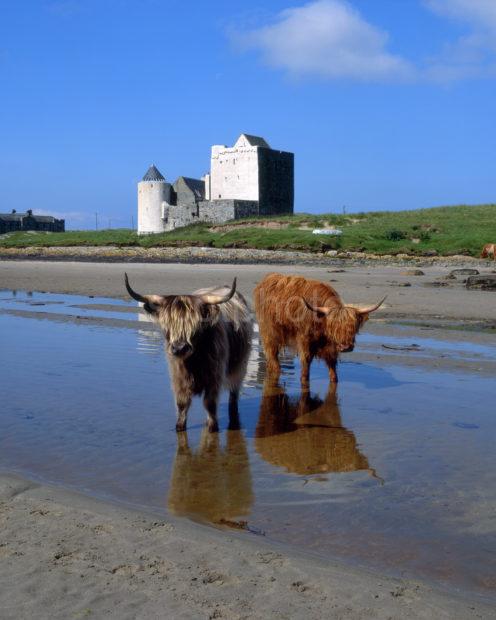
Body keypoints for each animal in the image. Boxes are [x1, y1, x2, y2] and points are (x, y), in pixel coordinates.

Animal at [125, 274, 252, 432]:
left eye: (196, 325)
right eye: (166, 325)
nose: (179, 348)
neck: (193, 363)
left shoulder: (214, 379)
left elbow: (210, 405)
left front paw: (213, 427)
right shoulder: (178, 379)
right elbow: (182, 406)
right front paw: (180, 427)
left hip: (240, 366)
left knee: (233, 394)